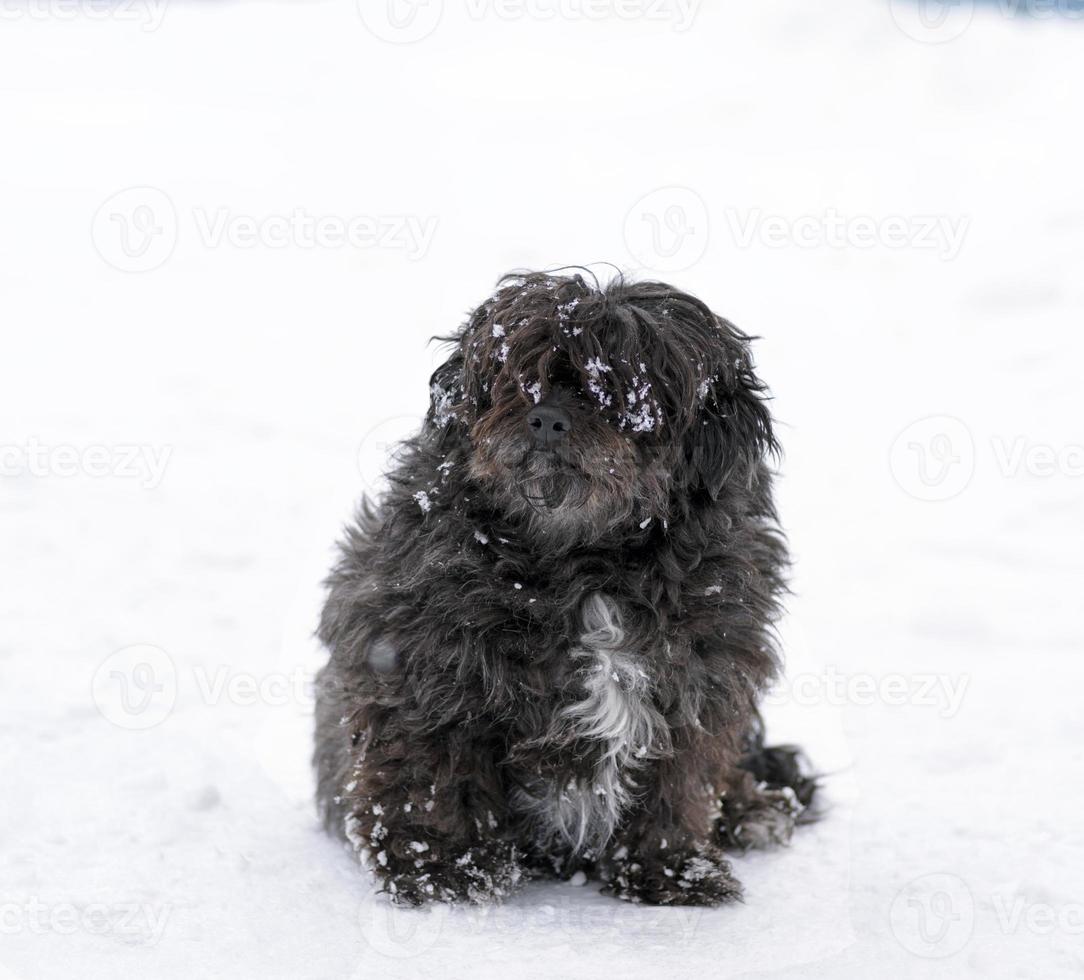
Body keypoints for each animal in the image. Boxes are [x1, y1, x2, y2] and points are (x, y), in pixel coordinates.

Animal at [314, 272, 815, 906]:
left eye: (626, 388)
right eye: (515, 374)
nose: (547, 418)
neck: (587, 560)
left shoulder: (701, 681)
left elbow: (679, 782)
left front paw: (671, 869)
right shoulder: (417, 667)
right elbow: (429, 771)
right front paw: (443, 868)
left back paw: (754, 809)